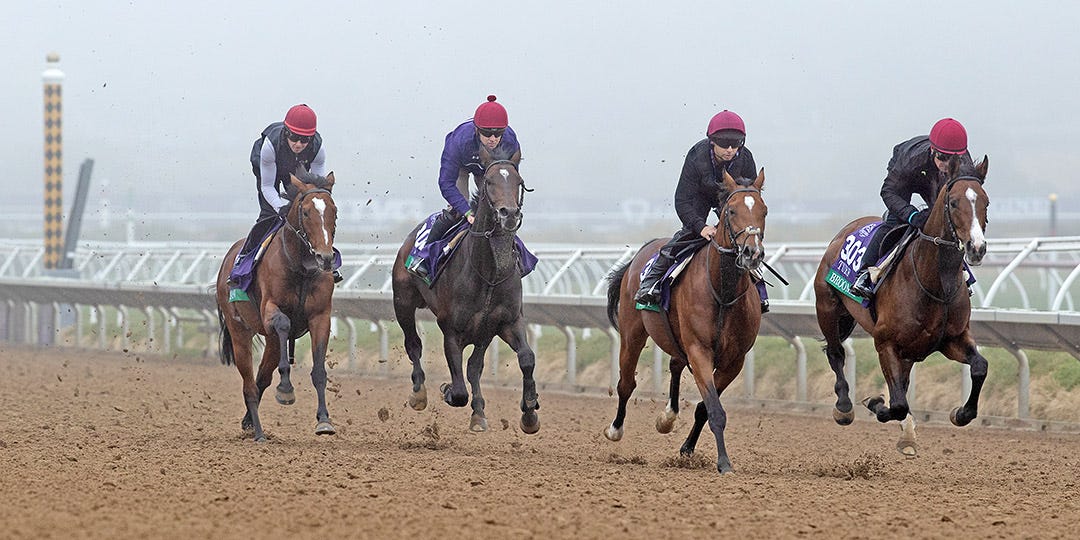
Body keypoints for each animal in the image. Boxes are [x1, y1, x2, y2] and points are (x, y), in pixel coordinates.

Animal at [215, 171, 338, 442]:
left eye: (334, 211)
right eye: (306, 212)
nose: (324, 258)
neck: (302, 268)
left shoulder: (320, 316)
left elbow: (319, 370)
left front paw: (324, 420)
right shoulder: (270, 309)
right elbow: (283, 324)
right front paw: (285, 389)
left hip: (269, 341)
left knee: (261, 378)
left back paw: (249, 422)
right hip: (239, 331)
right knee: (249, 383)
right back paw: (259, 433)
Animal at [392, 144, 540, 434]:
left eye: (519, 182)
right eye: (489, 182)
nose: (509, 214)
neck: (490, 274)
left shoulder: (505, 322)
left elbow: (526, 358)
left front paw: (529, 410)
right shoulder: (451, 329)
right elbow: (459, 390)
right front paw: (447, 390)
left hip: (482, 332)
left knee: (474, 367)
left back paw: (479, 412)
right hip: (402, 302)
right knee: (413, 345)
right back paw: (419, 393)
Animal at [604, 169, 767, 474]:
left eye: (764, 210)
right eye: (731, 210)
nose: (752, 253)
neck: (723, 292)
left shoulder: (734, 360)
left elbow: (705, 407)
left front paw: (688, 449)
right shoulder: (699, 350)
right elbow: (714, 409)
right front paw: (724, 463)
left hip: (676, 338)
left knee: (674, 365)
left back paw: (668, 416)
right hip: (633, 333)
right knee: (626, 383)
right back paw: (615, 429)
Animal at [814, 157, 989, 455]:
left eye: (985, 202)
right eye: (954, 202)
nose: (976, 248)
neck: (934, 283)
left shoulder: (952, 339)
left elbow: (980, 366)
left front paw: (961, 413)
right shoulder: (885, 343)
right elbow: (896, 404)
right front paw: (874, 403)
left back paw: (907, 435)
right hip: (827, 308)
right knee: (836, 353)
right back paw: (844, 407)